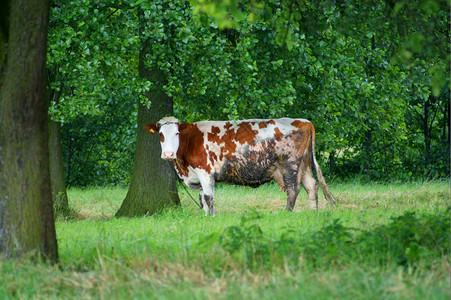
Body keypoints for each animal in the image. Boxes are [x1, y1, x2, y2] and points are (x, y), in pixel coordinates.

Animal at [147, 115, 338, 216]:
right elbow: (202, 199)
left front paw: (211, 218)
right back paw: (313, 212)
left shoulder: (206, 172)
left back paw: (287, 212)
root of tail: (303, 121)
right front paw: (205, 216)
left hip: (290, 164)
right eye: (161, 135)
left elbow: (209, 197)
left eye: (177, 133)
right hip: (303, 165)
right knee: (311, 186)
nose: (168, 154)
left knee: (293, 189)